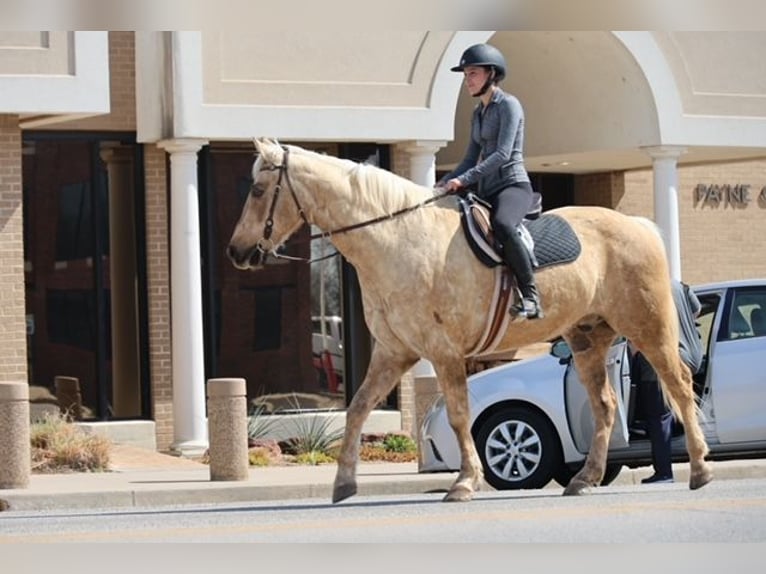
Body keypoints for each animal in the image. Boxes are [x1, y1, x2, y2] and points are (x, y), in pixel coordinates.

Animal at [227, 138, 713, 503]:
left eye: (256, 190)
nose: (236, 252)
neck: (397, 239)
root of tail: (638, 225)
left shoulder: (443, 353)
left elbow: (460, 415)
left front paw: (463, 483)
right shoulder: (394, 352)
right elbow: (358, 408)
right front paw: (344, 483)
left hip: (647, 327)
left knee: (678, 387)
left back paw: (700, 469)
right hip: (588, 339)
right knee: (606, 405)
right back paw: (584, 479)